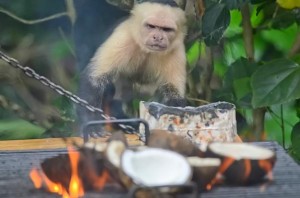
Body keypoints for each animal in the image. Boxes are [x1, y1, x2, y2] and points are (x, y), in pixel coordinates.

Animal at [77, 0, 186, 133]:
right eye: (151, 26)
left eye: (166, 29)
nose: (158, 37)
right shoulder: (123, 37)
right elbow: (95, 79)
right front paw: (91, 123)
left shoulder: (177, 50)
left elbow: (174, 96)